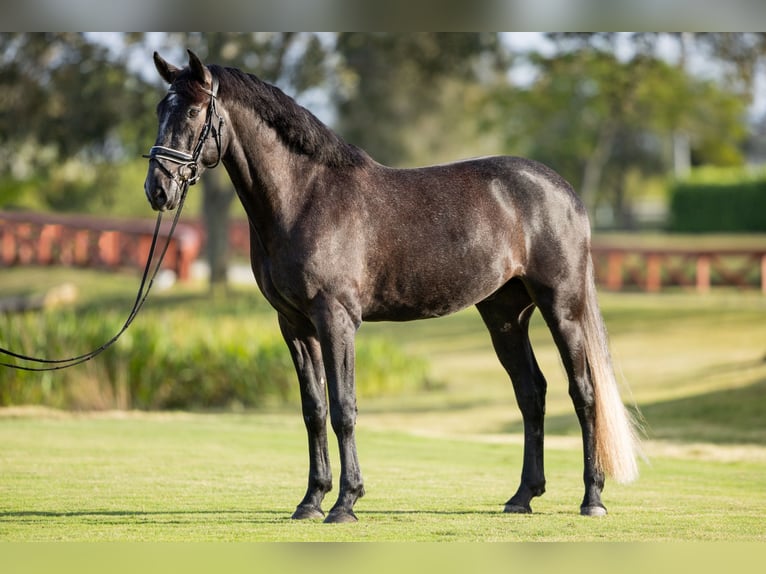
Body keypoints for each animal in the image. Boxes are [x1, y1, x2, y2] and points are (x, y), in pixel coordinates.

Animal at [144, 50, 640, 528]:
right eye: (160, 110)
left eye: (192, 111)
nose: (158, 189)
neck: (305, 197)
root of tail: (563, 192)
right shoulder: (294, 325)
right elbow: (314, 410)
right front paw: (311, 501)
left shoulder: (336, 319)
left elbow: (344, 409)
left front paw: (345, 503)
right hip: (505, 315)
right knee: (531, 393)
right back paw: (522, 497)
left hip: (562, 307)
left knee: (583, 393)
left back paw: (592, 499)